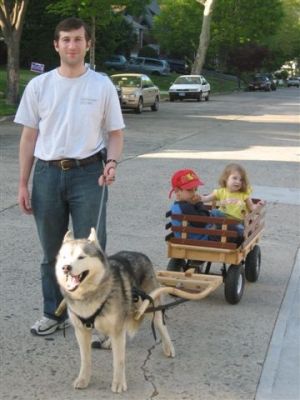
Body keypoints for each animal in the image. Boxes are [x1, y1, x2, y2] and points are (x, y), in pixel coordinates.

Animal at [55, 230, 175, 392]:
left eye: (81, 257)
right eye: (64, 257)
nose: (66, 268)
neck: (88, 295)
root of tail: (140, 254)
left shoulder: (118, 329)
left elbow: (119, 360)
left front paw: (118, 382)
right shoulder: (81, 331)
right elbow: (85, 359)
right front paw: (83, 379)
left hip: (150, 306)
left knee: (161, 325)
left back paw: (168, 346)